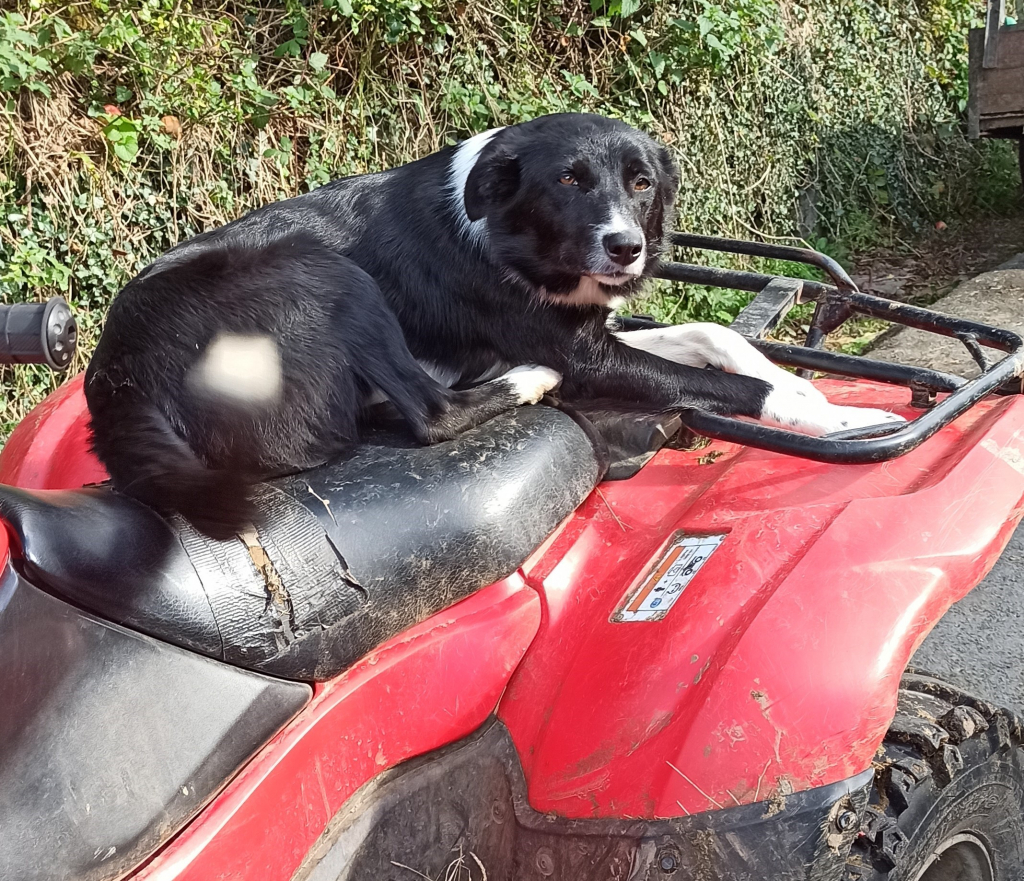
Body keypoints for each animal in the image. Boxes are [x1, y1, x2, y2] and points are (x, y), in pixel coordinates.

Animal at [88, 110, 905, 536]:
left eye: (642, 182)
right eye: (569, 181)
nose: (628, 248)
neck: (505, 232)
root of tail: (119, 379)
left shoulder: (590, 329)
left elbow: (720, 337)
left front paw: (805, 387)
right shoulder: (584, 356)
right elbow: (719, 385)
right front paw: (827, 414)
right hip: (327, 276)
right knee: (430, 413)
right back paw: (523, 382)